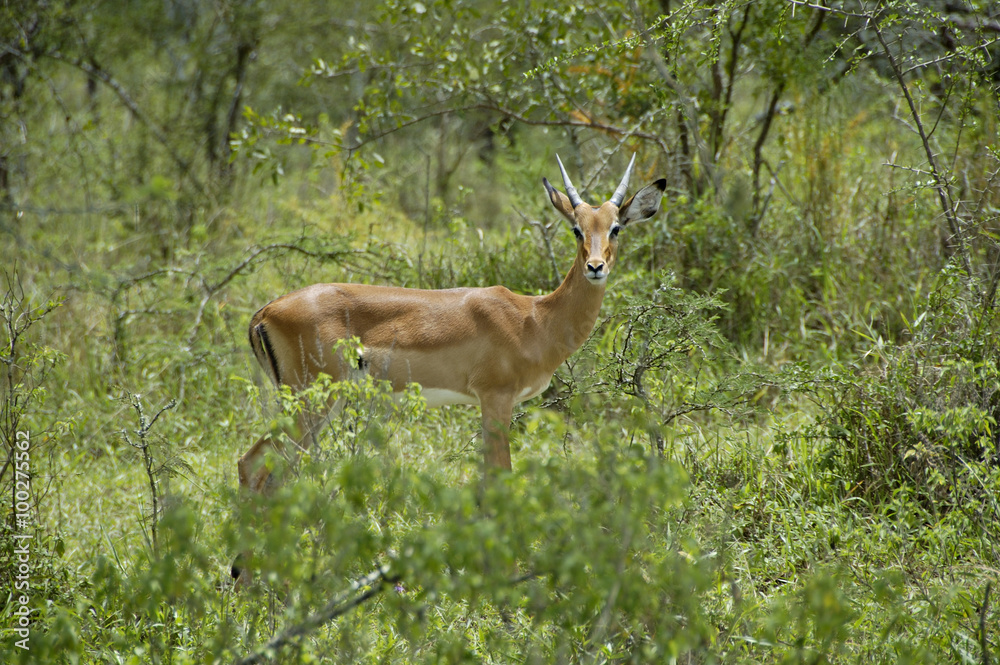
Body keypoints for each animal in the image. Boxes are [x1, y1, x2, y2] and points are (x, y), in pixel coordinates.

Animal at [233, 155, 665, 580]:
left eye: (615, 228)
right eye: (576, 229)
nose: (595, 266)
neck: (535, 318)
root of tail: (263, 312)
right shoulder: (495, 398)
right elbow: (499, 481)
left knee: (270, 473)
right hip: (311, 401)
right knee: (254, 465)